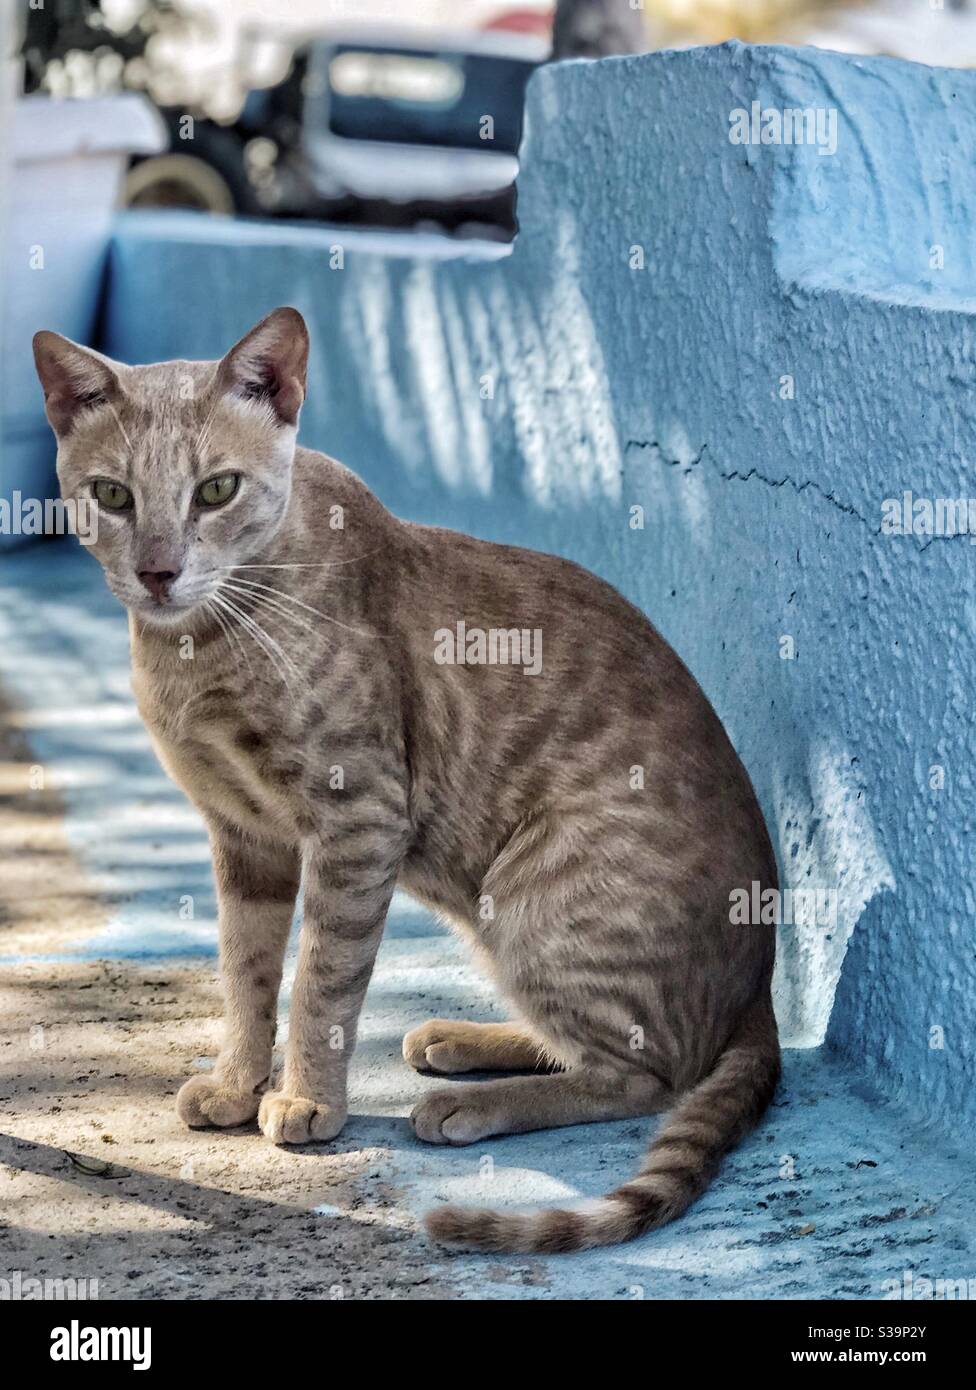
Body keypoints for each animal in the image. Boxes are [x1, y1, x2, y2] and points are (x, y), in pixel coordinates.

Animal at [34, 309, 784, 1256]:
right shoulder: (244, 836)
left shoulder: (358, 819)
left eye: (216, 490)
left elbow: (322, 979)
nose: (158, 572)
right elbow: (245, 970)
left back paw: (475, 1106)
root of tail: (759, 991)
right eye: (113, 496)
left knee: (648, 1074)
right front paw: (238, 1081)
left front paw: (307, 1099)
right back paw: (466, 1041)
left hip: (536, 895)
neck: (204, 646)